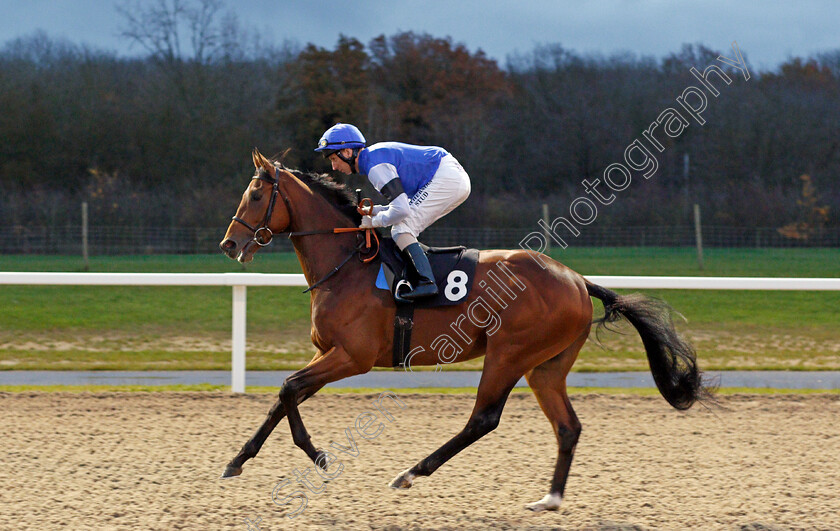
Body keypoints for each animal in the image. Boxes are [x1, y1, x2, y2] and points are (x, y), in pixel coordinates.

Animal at [218, 149, 708, 512]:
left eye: (256, 195)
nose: (229, 244)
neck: (347, 264)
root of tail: (576, 279)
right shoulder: (328, 354)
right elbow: (284, 395)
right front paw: (238, 460)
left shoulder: (353, 358)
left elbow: (288, 389)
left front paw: (316, 455)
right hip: (546, 366)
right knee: (567, 426)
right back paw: (549, 498)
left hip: (509, 354)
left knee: (483, 419)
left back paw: (410, 473)